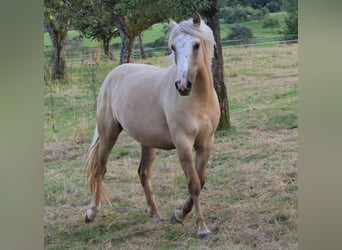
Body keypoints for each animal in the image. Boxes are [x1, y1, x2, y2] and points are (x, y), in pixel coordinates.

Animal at [84, 12, 220, 239]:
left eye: (196, 45)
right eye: (173, 46)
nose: (182, 86)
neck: (198, 100)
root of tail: (114, 73)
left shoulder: (205, 143)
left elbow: (200, 181)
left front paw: (178, 215)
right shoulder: (183, 144)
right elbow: (193, 184)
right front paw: (201, 227)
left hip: (148, 143)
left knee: (143, 173)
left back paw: (156, 214)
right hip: (108, 134)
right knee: (99, 169)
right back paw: (91, 213)